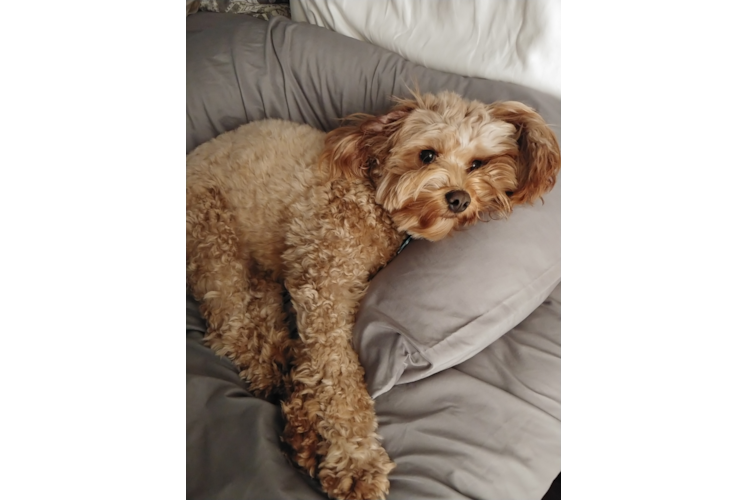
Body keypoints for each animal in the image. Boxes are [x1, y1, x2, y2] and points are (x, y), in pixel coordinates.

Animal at [186, 91, 560, 500]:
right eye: (426, 155)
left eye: (477, 163)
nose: (459, 199)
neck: (370, 201)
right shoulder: (325, 293)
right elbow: (339, 380)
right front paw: (355, 463)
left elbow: (315, 370)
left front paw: (304, 431)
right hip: (214, 234)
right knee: (230, 325)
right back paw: (268, 370)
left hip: (262, 266)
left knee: (262, 313)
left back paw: (280, 363)